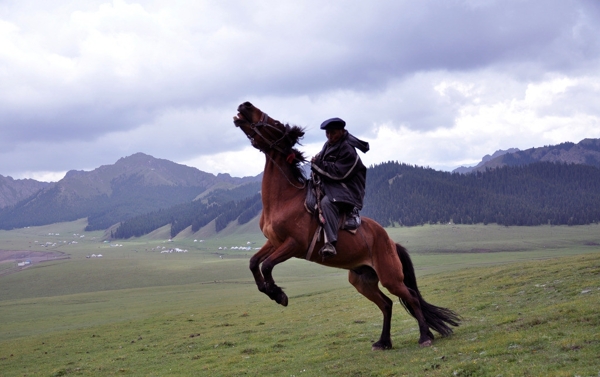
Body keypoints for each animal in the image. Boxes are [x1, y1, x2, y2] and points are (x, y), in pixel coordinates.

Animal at [234, 101, 460, 348]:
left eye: (275, 122)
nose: (245, 105)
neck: (285, 199)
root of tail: (391, 242)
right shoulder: (274, 242)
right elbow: (253, 263)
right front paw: (268, 290)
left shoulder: (293, 245)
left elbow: (266, 265)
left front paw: (278, 295)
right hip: (362, 280)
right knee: (387, 304)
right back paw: (383, 342)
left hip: (390, 278)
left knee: (411, 298)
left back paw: (425, 337)